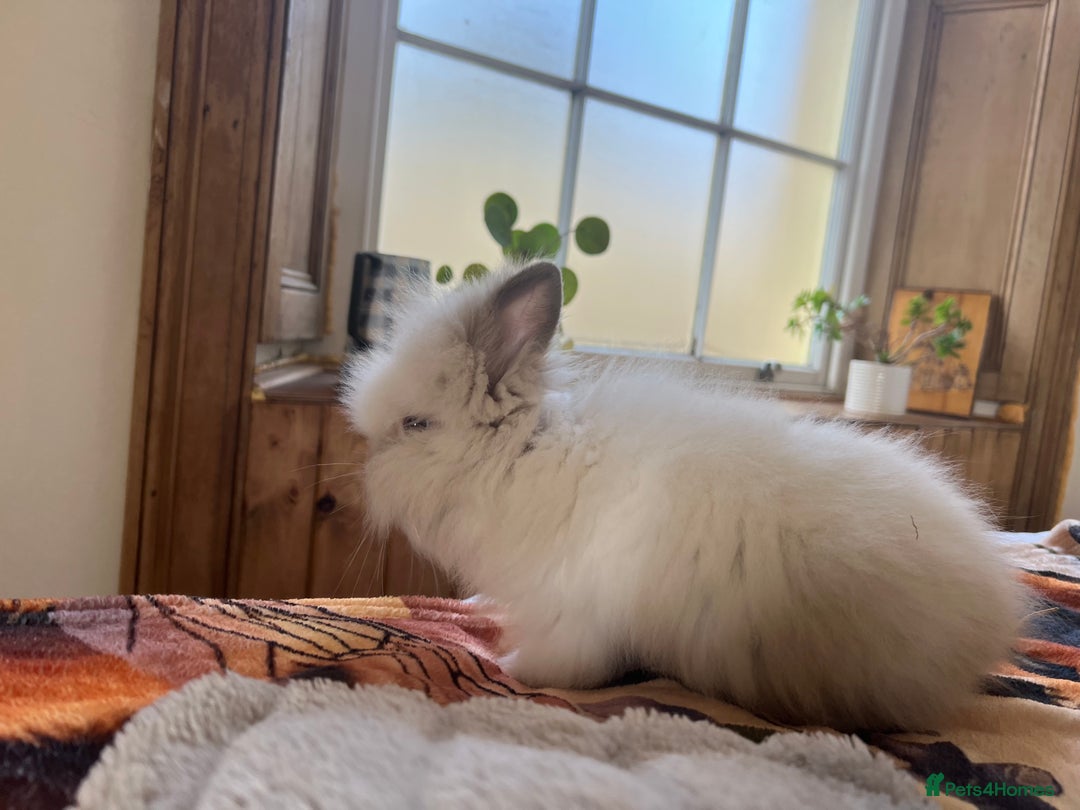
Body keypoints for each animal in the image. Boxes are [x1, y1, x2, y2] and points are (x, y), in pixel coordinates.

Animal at [342, 260, 1025, 731]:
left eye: (415, 425)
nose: (365, 467)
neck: (523, 457)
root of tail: (991, 616)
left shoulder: (578, 615)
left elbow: (567, 667)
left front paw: (507, 667)